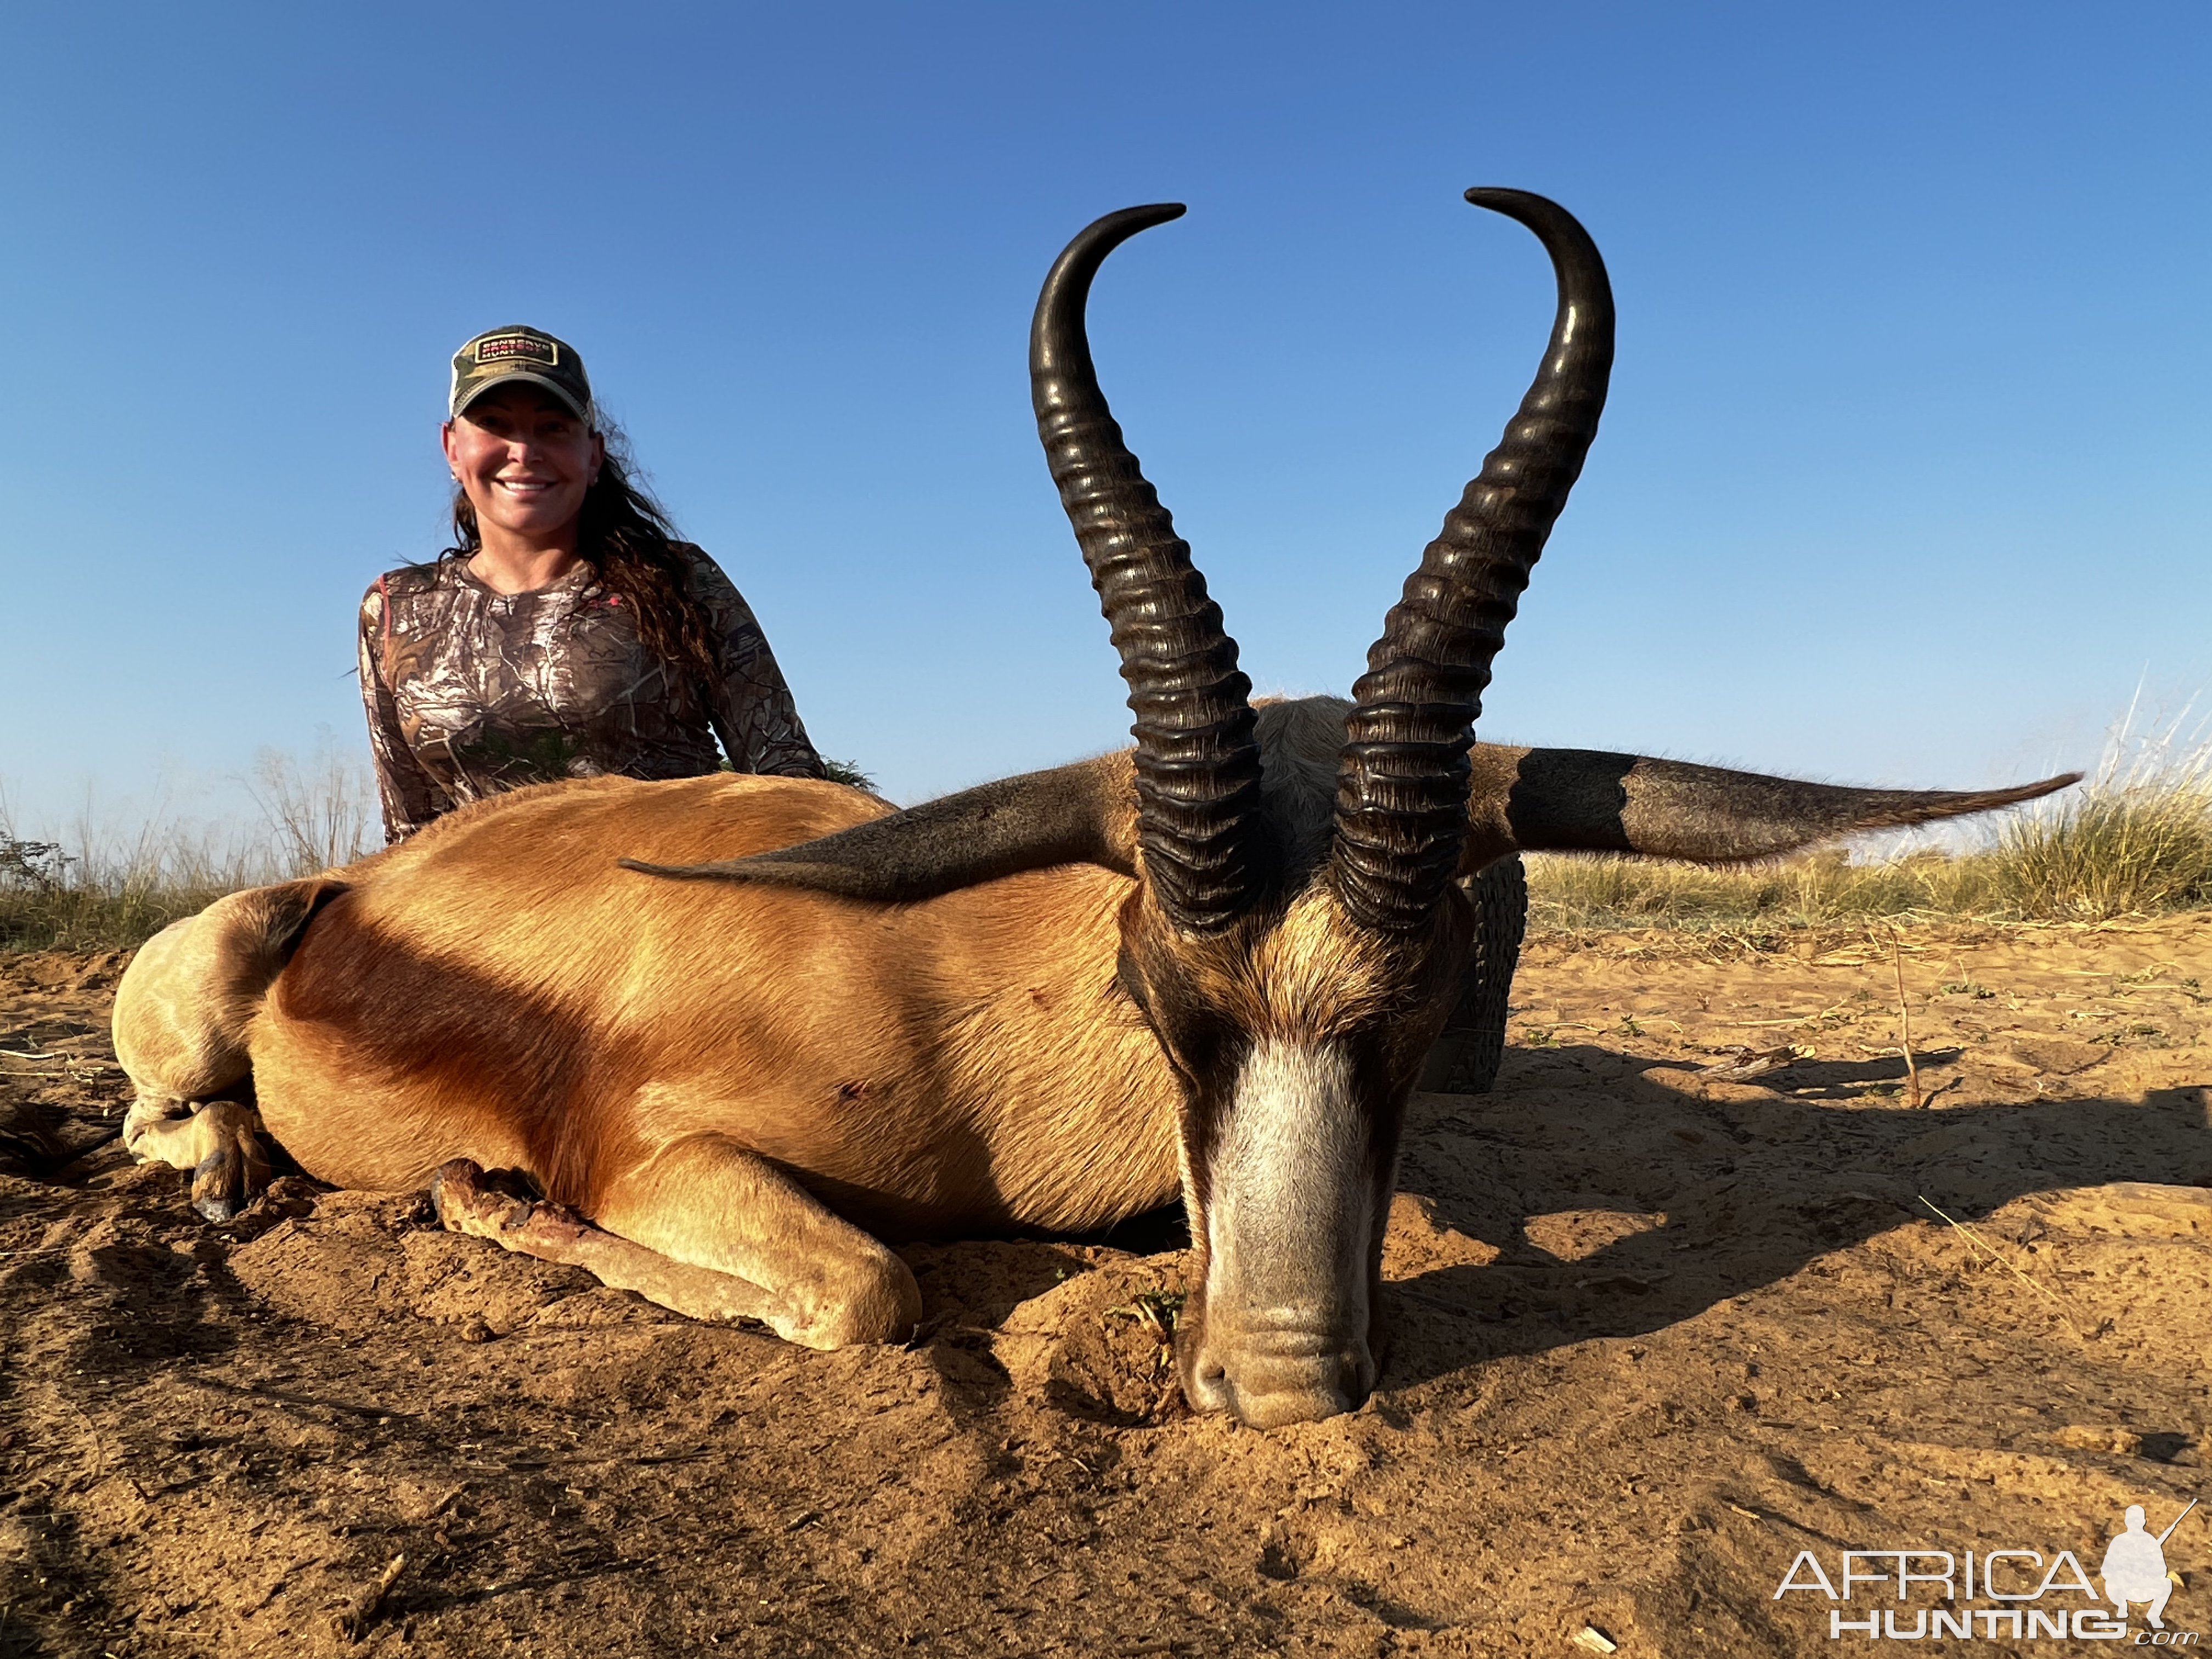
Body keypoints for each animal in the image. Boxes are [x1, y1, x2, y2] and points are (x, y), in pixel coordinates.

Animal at [108, 194, 2070, 1433]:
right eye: (1163, 1002)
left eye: (1424, 1011)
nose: (1283, 1389)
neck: (935, 987)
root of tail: (348, 890)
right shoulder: (654, 1150)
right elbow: (873, 1293)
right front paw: (482, 1199)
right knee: (156, 1121)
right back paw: (234, 1173)